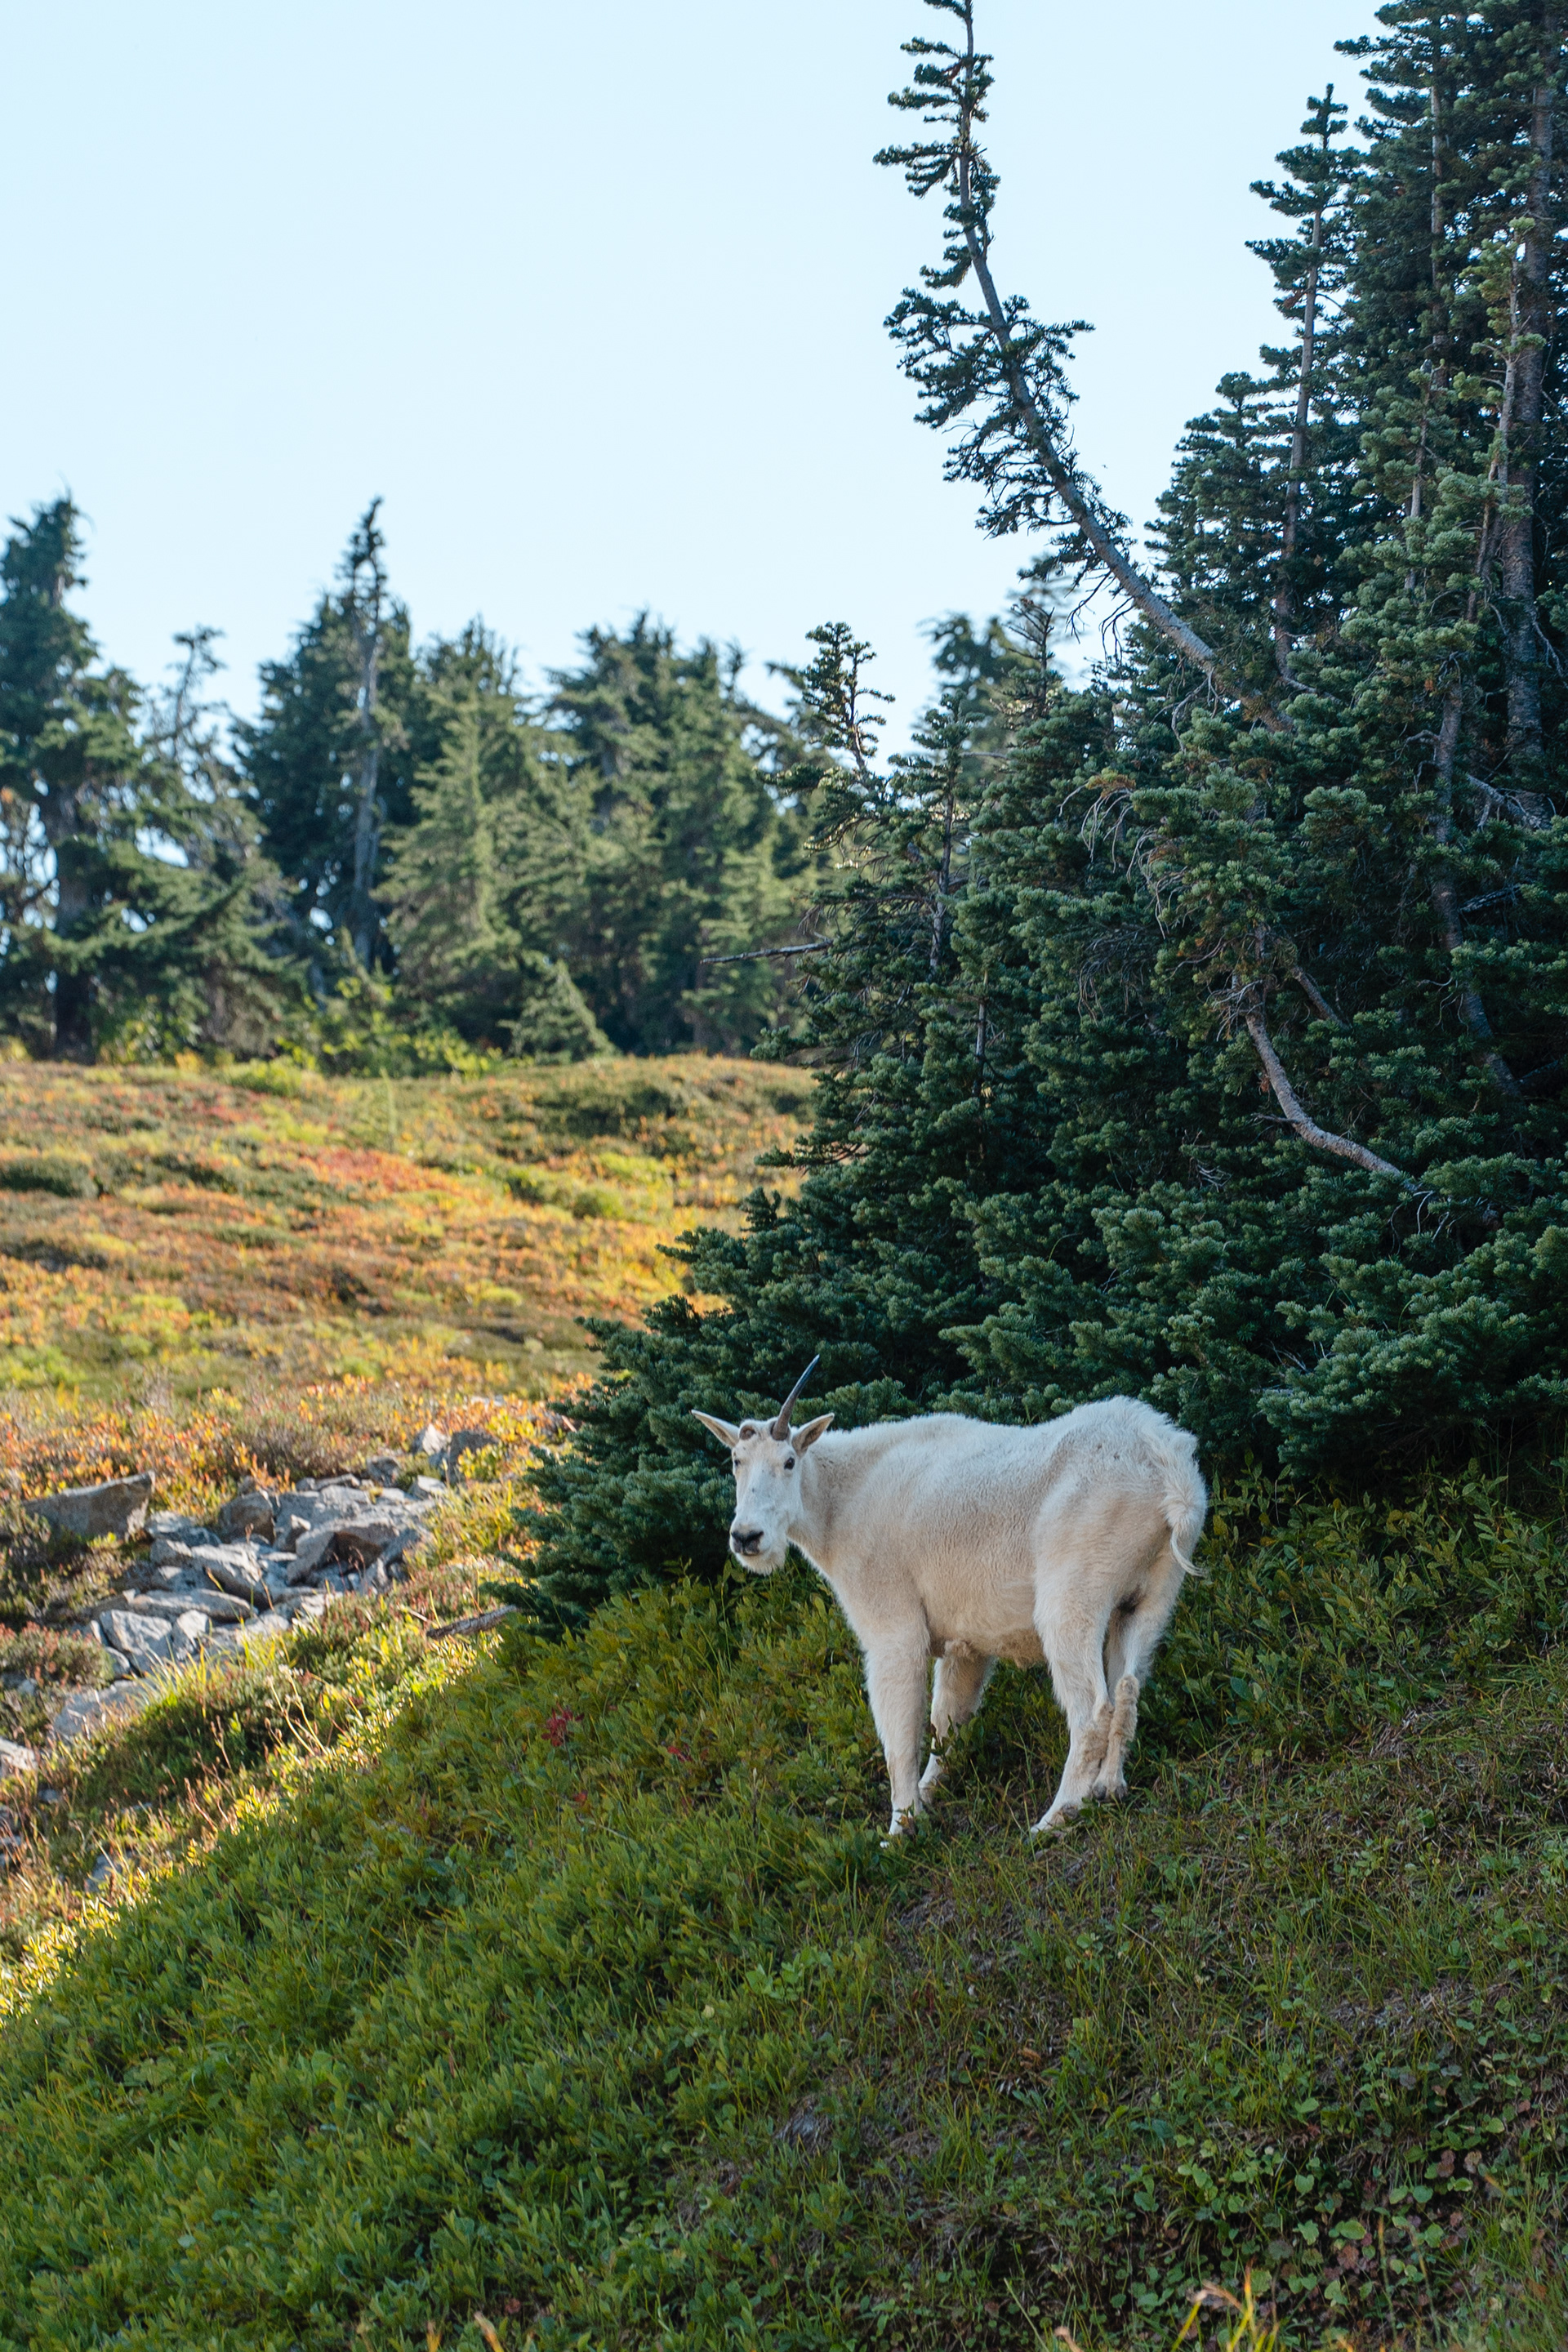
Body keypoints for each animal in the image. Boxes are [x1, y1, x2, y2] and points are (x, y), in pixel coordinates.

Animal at [694, 1362, 1206, 1837]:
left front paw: (901, 1828)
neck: (841, 1504)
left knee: (1093, 1710)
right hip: (1151, 1594)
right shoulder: (967, 1643)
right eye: (736, 1460)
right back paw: (1108, 1789)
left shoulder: (893, 1628)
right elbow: (948, 1720)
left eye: (788, 1462)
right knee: (1128, 1687)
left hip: (1072, 1597)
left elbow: (900, 1734)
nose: (747, 1537)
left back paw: (1055, 1818)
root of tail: (1171, 1475)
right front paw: (929, 1793)